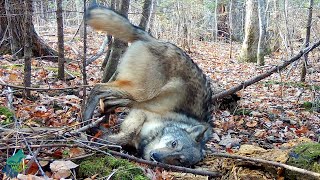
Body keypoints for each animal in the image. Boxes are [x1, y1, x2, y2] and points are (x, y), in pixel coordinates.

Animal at [82, 4, 214, 167]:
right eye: (174, 144)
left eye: (178, 160)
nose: (155, 156)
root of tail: (153, 39)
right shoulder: (141, 113)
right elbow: (128, 134)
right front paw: (104, 140)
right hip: (140, 93)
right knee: (97, 88)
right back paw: (86, 120)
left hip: (134, 97)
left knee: (107, 100)